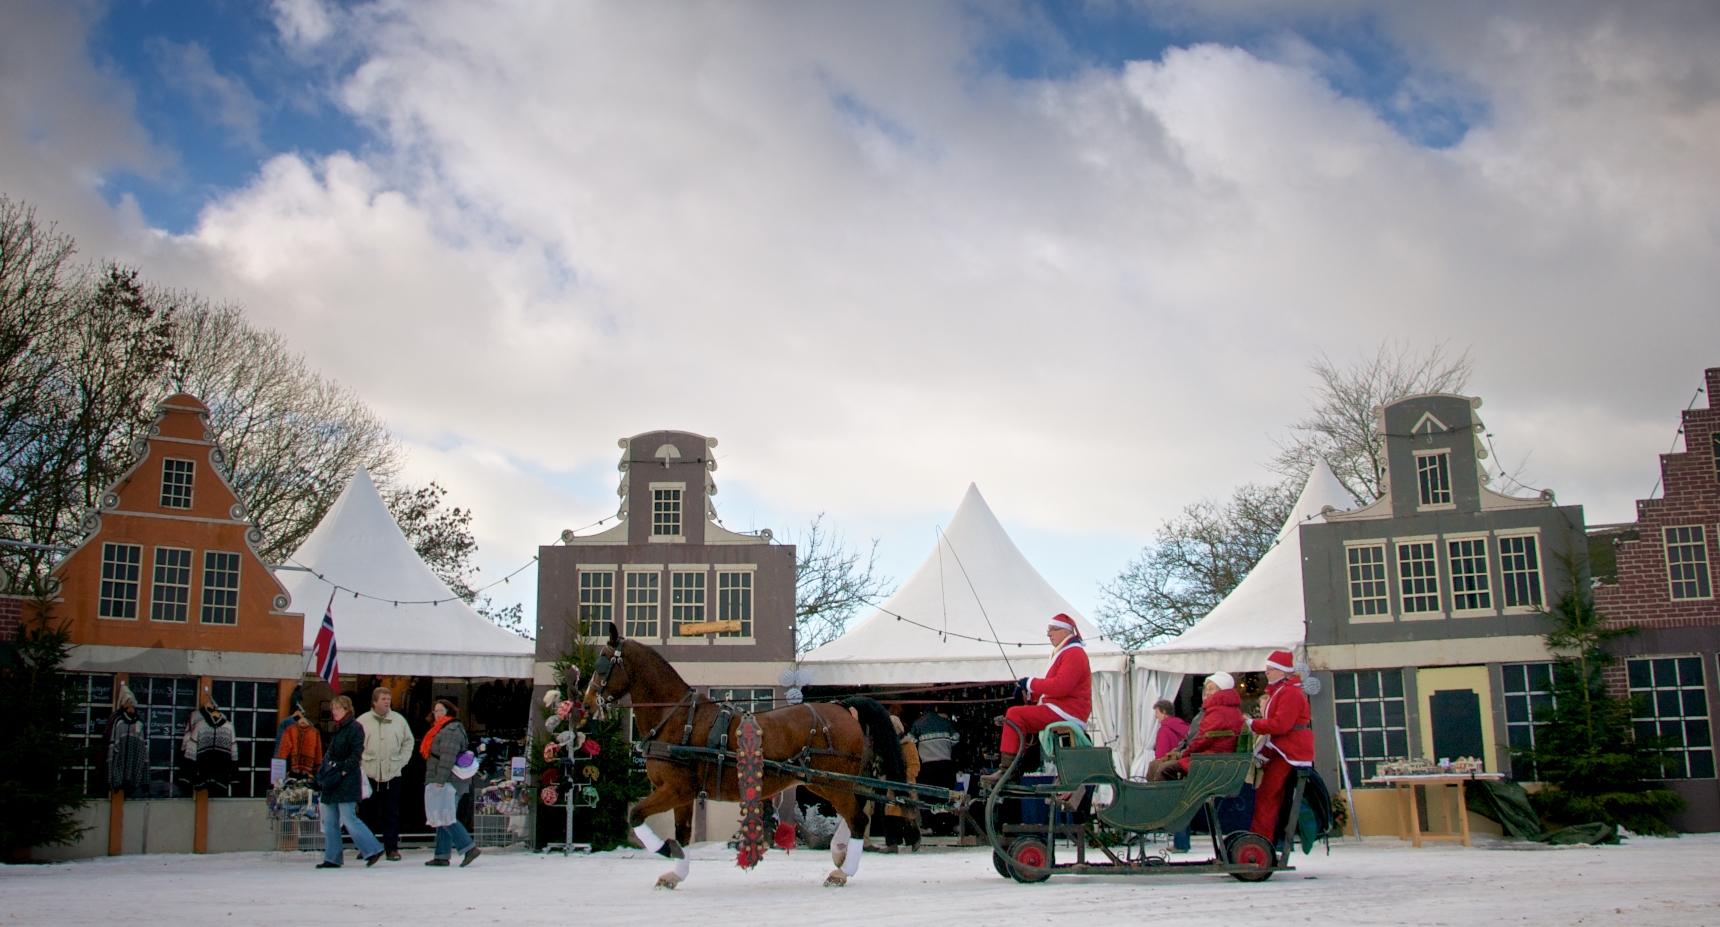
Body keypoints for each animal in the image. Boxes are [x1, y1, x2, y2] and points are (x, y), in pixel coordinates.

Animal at [577, 626, 901, 887]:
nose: (586, 703)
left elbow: (636, 815)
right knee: (857, 815)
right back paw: (839, 855)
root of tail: (841, 706)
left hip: (830, 782)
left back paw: (842, 871)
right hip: (832, 783)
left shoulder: (676, 790)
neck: (677, 720)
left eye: (602, 663)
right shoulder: (682, 794)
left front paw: (666, 850)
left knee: (857, 818)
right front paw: (676, 873)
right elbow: (682, 833)